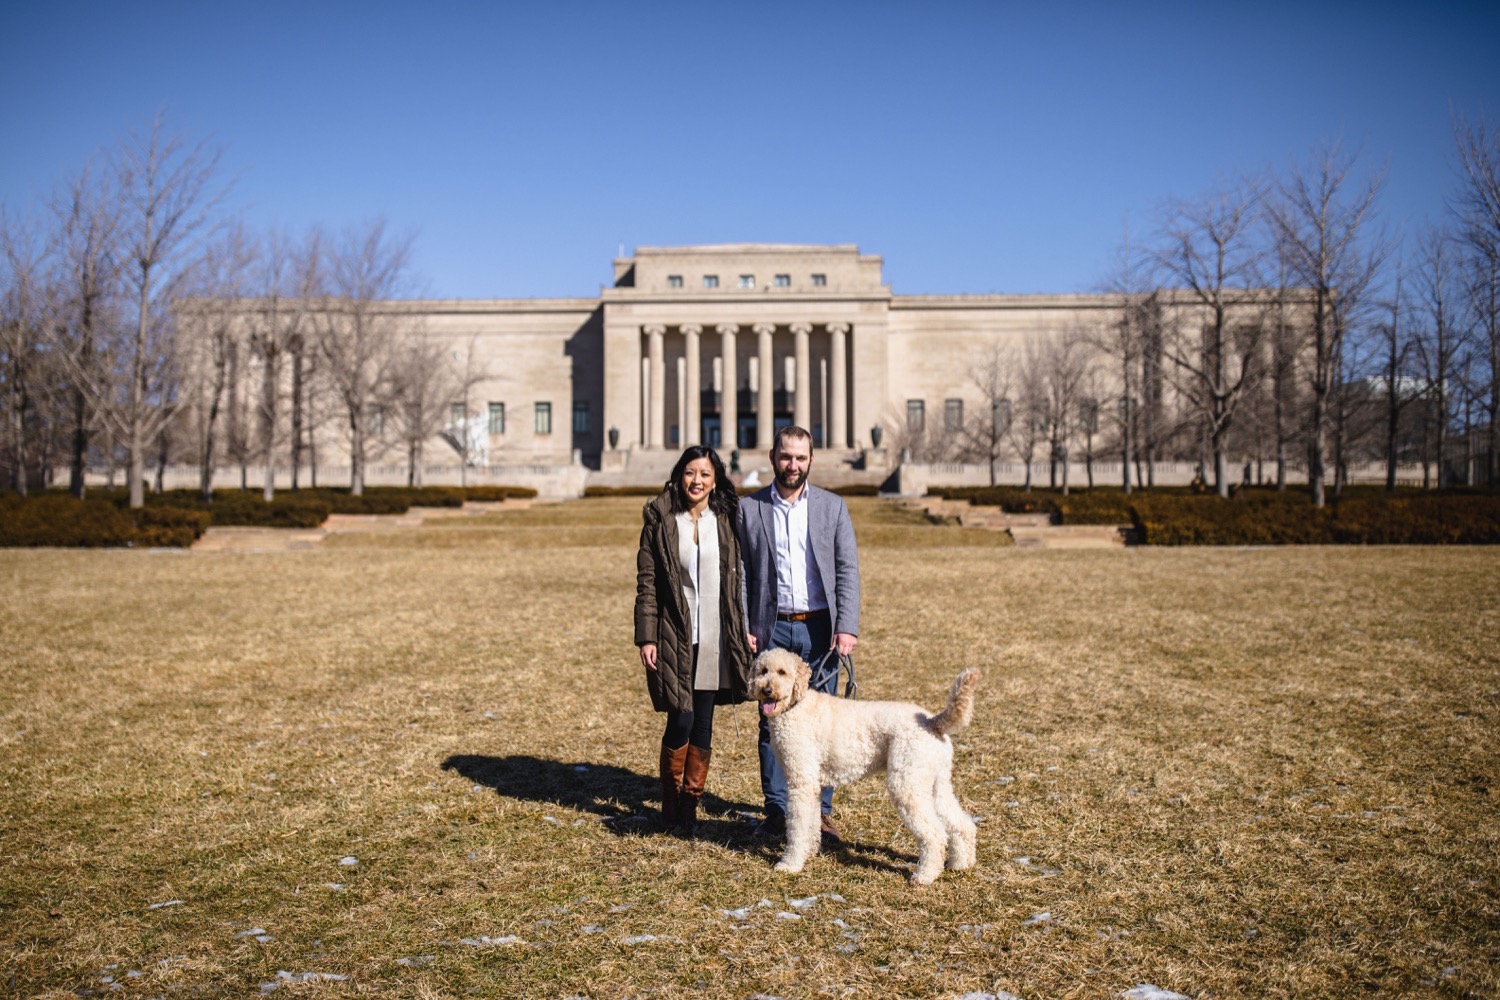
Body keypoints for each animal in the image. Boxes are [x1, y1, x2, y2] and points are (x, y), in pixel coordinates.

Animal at [750, 650, 984, 893]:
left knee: (935, 834)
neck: (796, 706)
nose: (766, 690)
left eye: (782, 672)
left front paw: (790, 864)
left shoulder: (800, 782)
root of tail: (932, 722)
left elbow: (797, 827)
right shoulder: (811, 784)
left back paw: (924, 876)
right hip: (935, 783)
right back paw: (961, 863)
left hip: (906, 785)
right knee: (961, 823)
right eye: (762, 671)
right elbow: (811, 823)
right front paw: (810, 852)